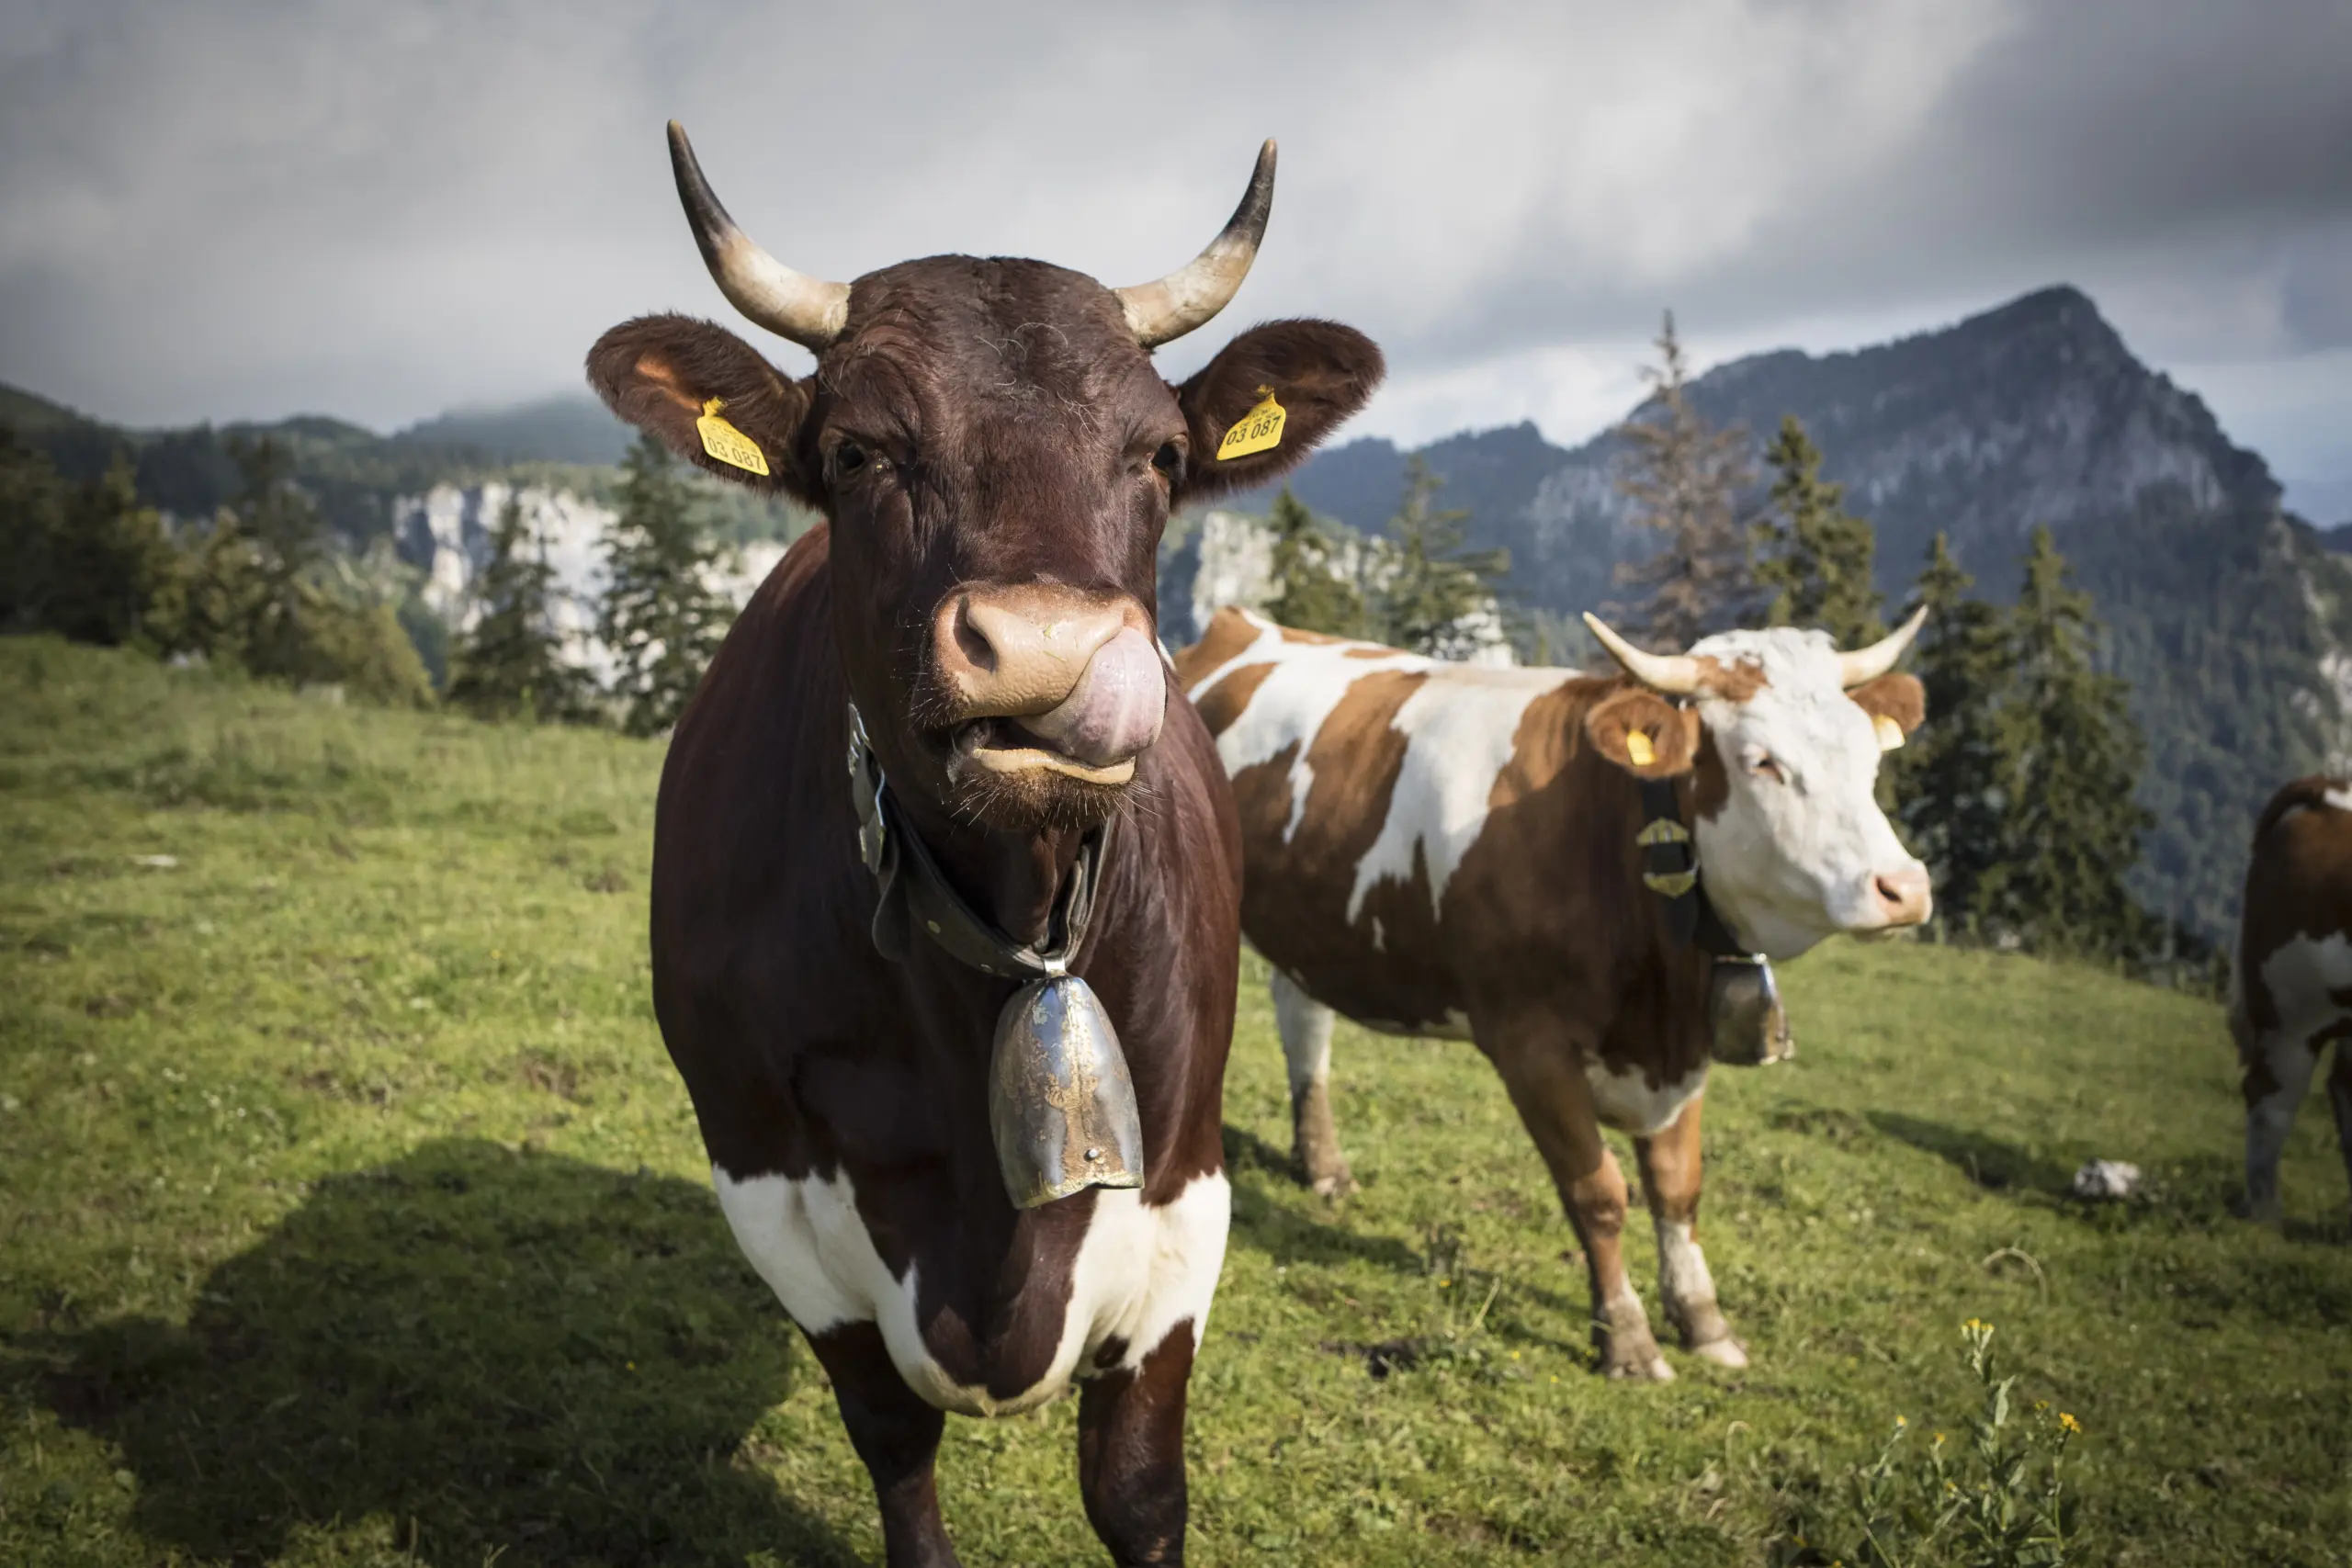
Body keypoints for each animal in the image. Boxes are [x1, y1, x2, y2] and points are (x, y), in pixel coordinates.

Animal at [587, 125, 1382, 1565]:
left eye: (1159, 456)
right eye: (859, 450)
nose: (1052, 652)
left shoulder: (1184, 1198)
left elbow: (1136, 1487)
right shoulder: (770, 1192)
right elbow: (896, 1444)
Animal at [1174, 606, 1932, 1381]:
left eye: (1870, 759)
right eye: (1763, 762)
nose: (1904, 889)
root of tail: (1245, 622)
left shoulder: (1682, 1049)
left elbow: (1677, 1188)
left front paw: (1704, 1320)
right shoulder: (1530, 1045)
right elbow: (1599, 1193)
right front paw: (1628, 1340)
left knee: (1305, 1022)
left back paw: (1324, 1167)